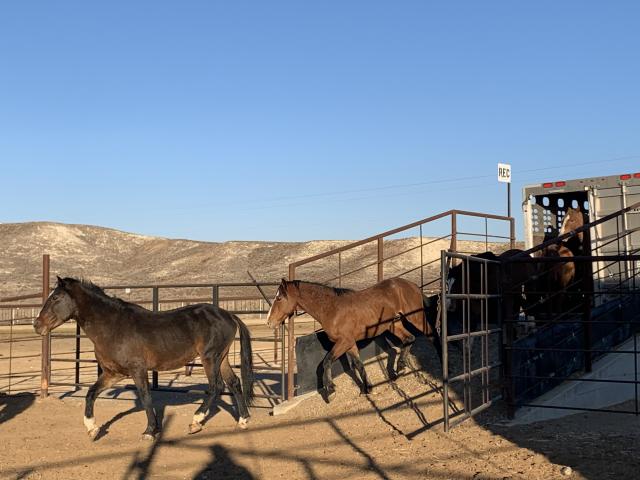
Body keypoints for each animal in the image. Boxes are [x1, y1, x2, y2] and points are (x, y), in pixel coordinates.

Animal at [34, 276, 255, 440]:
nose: (37, 325)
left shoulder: (137, 369)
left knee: (216, 386)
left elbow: (145, 396)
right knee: (234, 383)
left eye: (55, 298)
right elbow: (91, 393)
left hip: (210, 358)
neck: (113, 326)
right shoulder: (113, 373)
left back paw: (196, 422)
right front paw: (92, 429)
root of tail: (229, 315)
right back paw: (243, 421)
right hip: (222, 358)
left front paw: (150, 431)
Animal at [264, 278, 440, 402]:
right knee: (409, 339)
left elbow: (326, 362)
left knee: (432, 334)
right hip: (394, 324)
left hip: (415, 317)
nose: (269, 322)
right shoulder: (350, 344)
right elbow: (358, 364)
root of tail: (411, 285)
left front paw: (331, 391)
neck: (332, 309)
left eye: (279, 298)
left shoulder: (344, 341)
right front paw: (367, 388)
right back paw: (400, 368)